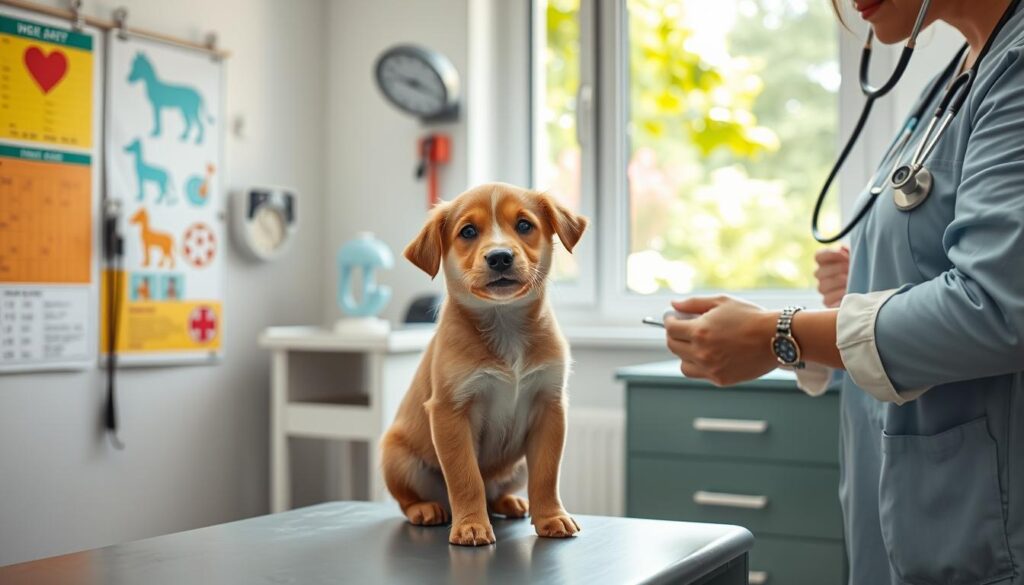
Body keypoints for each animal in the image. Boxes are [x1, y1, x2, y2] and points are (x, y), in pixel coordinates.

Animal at [380, 182, 589, 545]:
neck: (505, 324)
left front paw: (551, 517)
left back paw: (510, 502)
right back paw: (426, 509)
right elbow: (466, 478)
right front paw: (471, 526)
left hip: (517, 465)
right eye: (468, 231)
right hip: (396, 457)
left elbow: (547, 474)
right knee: (411, 498)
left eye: (524, 225)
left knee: (496, 492)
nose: (500, 256)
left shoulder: (550, 407)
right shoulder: (450, 411)